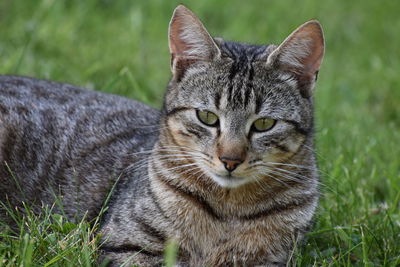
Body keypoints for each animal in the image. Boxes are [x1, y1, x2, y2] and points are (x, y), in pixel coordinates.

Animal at [0, 4, 324, 267]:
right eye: (207, 117)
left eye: (264, 124)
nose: (230, 160)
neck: (228, 210)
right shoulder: (127, 244)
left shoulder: (271, 258)